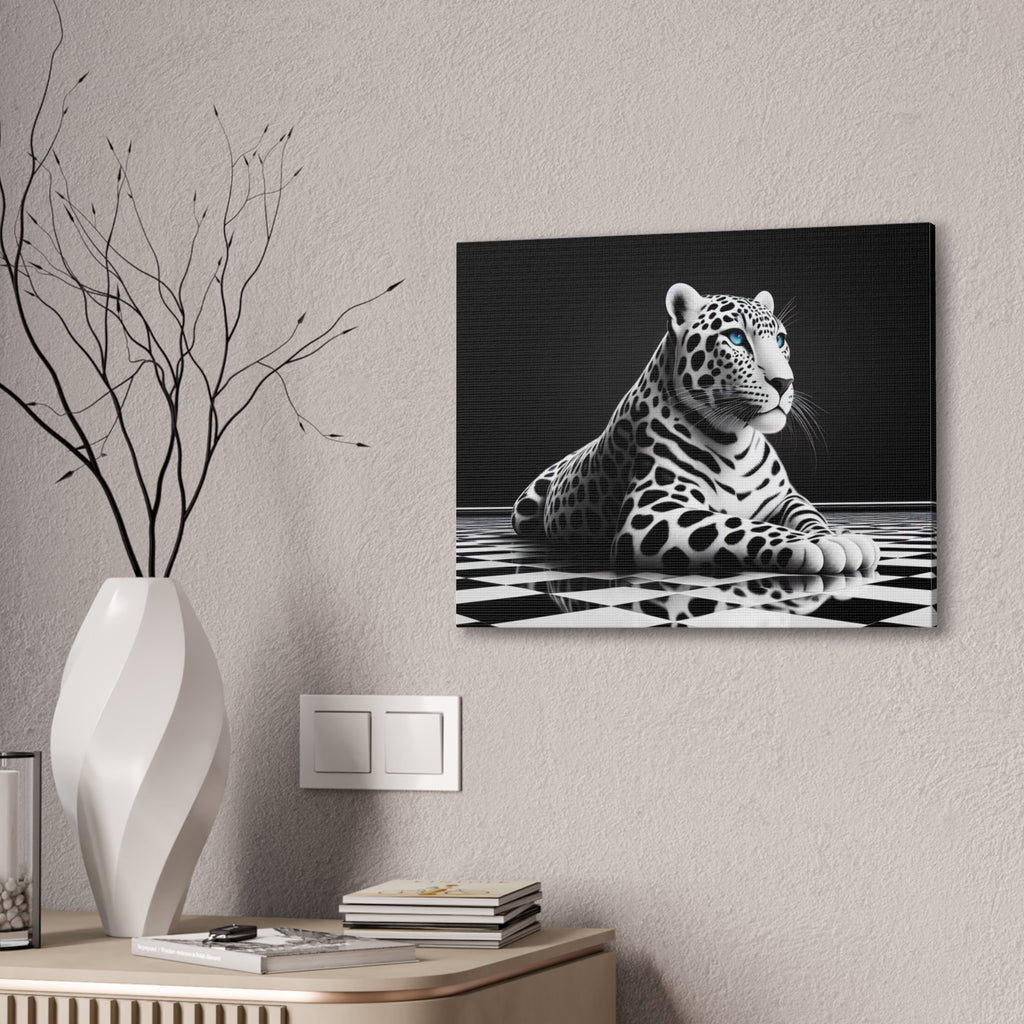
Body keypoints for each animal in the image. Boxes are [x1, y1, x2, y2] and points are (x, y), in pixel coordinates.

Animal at [511, 283, 879, 576]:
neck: (736, 441)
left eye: (780, 340)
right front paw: (816, 546)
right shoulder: (653, 512)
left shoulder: (784, 497)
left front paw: (836, 537)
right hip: (523, 510)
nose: (784, 382)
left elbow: (811, 516)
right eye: (736, 338)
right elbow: (740, 526)